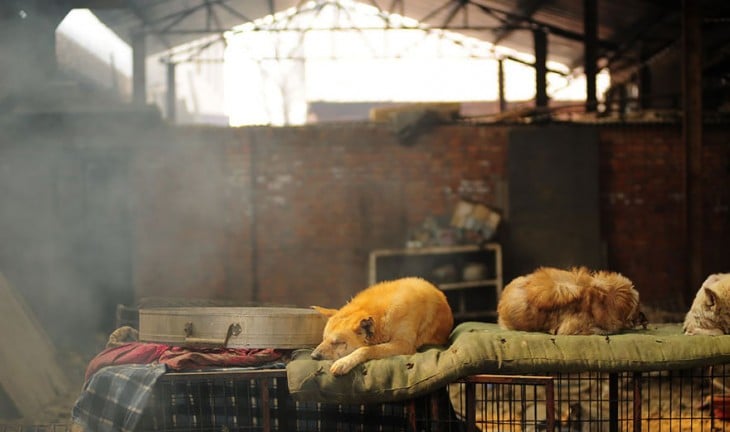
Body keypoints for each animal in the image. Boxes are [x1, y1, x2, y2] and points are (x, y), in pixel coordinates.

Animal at [310, 276, 452, 374]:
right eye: (323, 339)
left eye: (338, 343)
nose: (313, 356)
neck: (383, 313)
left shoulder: (404, 345)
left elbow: (367, 349)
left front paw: (344, 362)